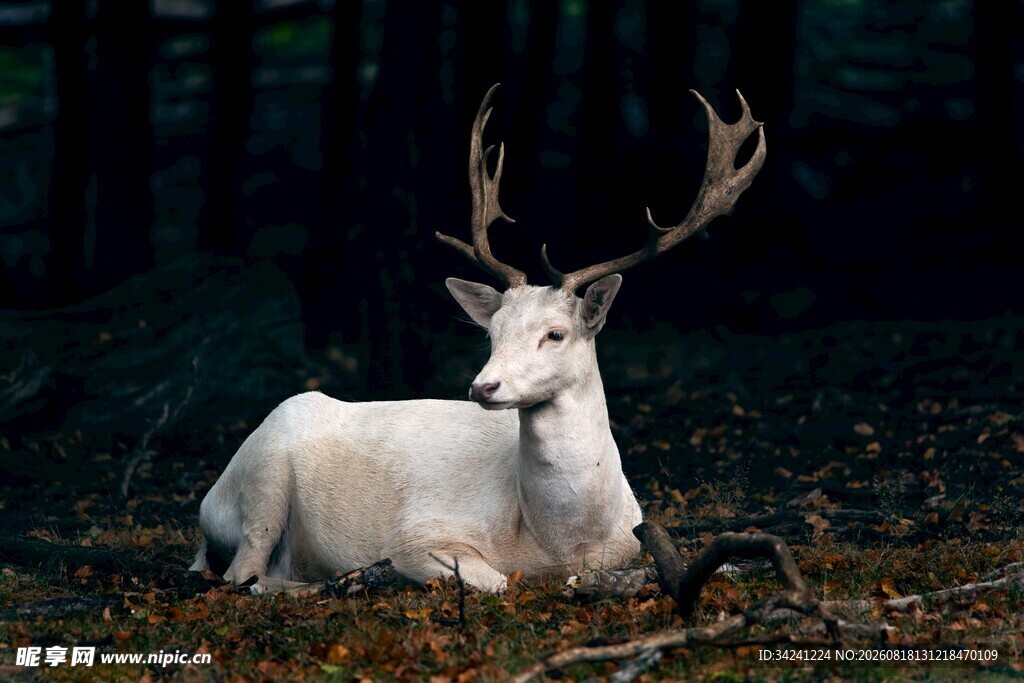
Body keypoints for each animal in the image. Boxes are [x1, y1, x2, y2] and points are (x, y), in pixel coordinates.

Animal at [191, 84, 765, 594]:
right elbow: (499, 582)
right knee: (242, 576)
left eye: (555, 333)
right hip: (261, 481)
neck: (560, 539)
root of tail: (208, 499)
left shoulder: (630, 539)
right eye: (492, 333)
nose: (482, 387)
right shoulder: (416, 535)